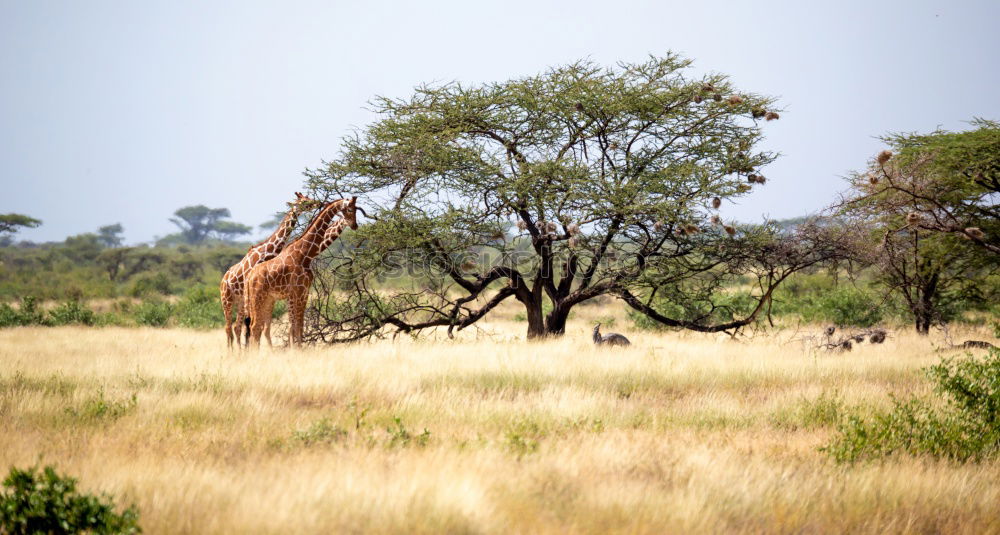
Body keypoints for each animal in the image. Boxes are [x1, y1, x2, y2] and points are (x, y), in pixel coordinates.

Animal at [220, 193, 314, 352]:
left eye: (307, 198)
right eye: (303, 201)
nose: (317, 203)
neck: (267, 251)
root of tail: (223, 280)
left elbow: (258, 325)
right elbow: (252, 325)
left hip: (239, 302)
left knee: (236, 327)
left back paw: (239, 351)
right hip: (227, 300)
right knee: (229, 327)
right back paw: (231, 352)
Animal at [244, 196, 358, 348]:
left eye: (357, 209)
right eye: (349, 209)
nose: (355, 225)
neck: (305, 254)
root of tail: (249, 277)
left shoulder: (304, 292)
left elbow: (300, 323)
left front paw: (299, 347)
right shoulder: (295, 292)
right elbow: (294, 324)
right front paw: (295, 349)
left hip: (266, 300)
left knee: (259, 327)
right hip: (258, 298)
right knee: (255, 326)